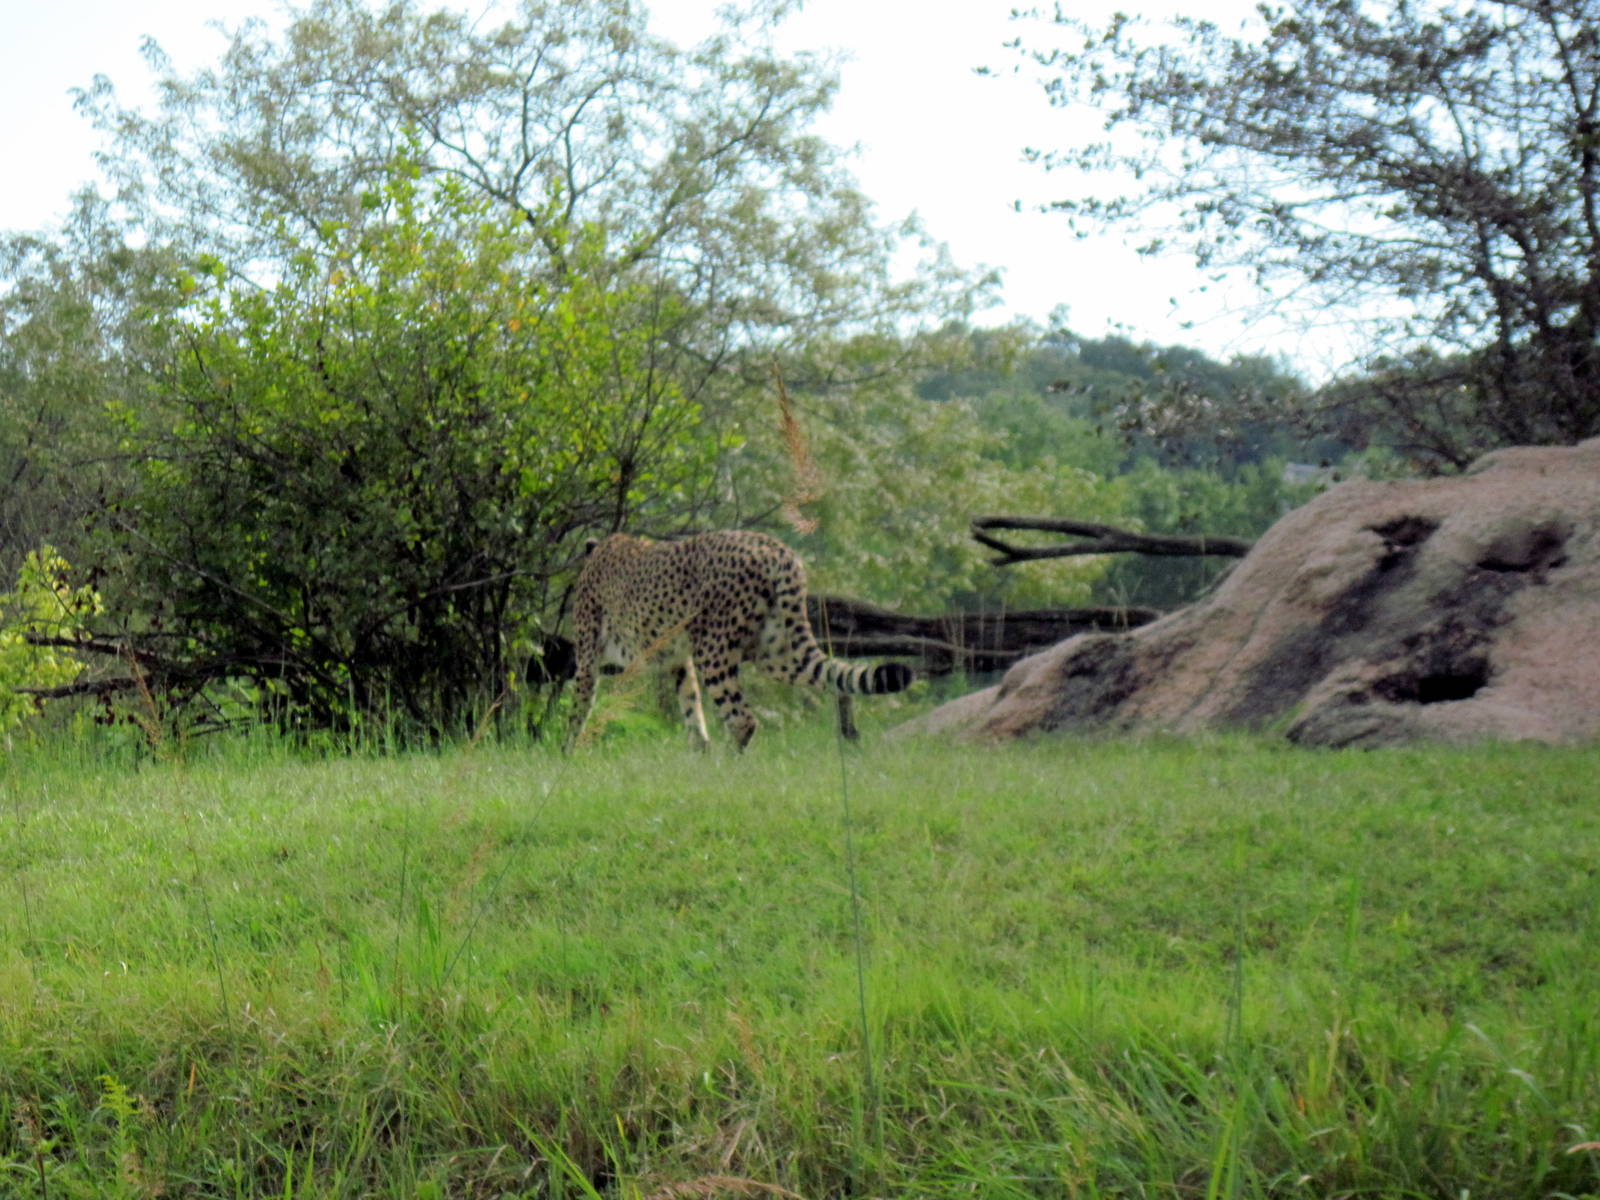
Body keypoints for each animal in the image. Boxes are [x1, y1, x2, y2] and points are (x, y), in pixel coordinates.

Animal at [564, 530, 913, 751]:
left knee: (742, 718)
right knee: (834, 675)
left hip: (714, 649)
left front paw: (566, 756)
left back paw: (728, 767)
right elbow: (691, 706)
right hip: (777, 653)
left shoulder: (588, 657)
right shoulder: (678, 659)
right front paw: (698, 754)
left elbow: (579, 708)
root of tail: (774, 546)